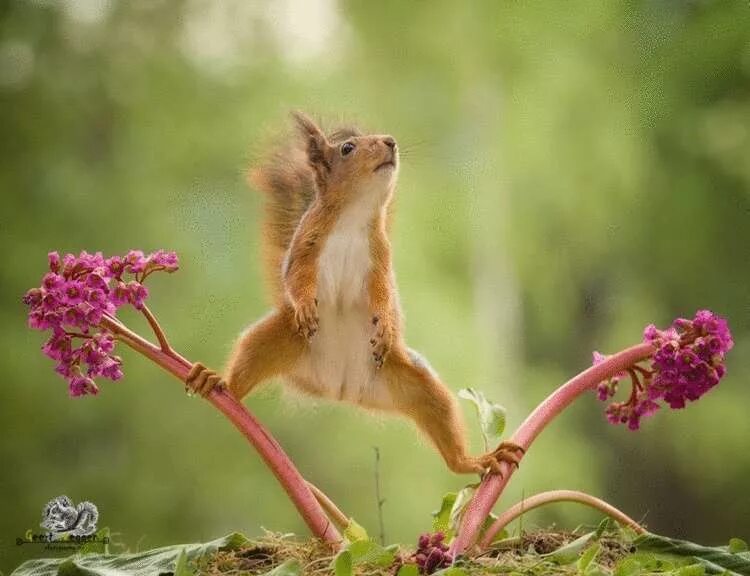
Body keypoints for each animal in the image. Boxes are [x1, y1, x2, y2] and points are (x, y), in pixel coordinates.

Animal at [188, 111, 524, 472]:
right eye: (347, 148)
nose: (391, 142)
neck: (353, 216)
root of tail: (339, 389)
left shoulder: (380, 261)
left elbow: (384, 294)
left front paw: (386, 324)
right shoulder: (304, 248)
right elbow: (295, 280)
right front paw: (305, 304)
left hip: (417, 386)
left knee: (443, 425)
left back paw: (474, 461)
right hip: (275, 341)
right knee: (245, 369)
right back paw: (218, 382)